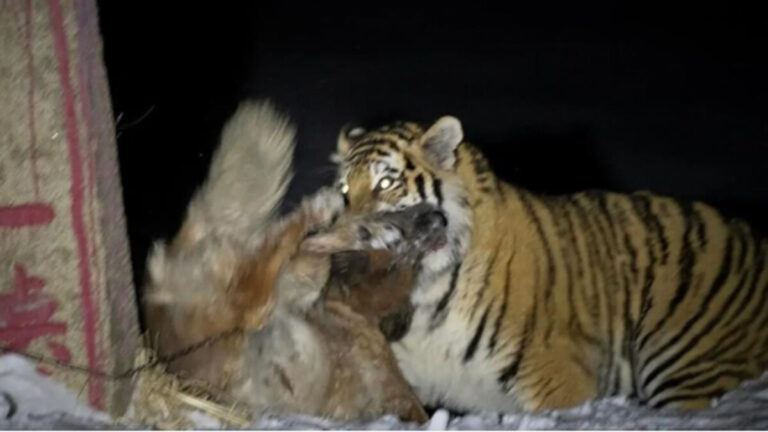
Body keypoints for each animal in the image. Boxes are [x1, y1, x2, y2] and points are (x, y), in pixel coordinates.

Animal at [331, 115, 768, 413]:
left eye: (387, 184)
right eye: (345, 191)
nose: (347, 233)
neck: (424, 290)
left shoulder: (558, 377)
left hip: (685, 360)